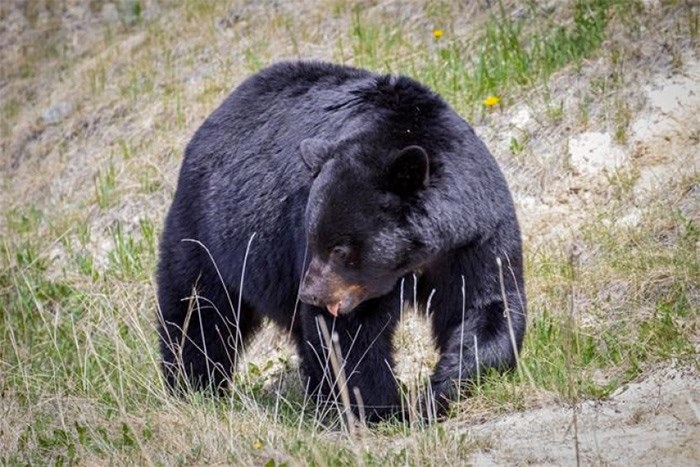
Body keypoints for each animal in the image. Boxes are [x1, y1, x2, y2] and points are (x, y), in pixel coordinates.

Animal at [154, 60, 524, 422]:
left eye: (340, 249)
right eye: (313, 238)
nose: (310, 293)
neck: (419, 256)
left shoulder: (474, 237)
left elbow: (487, 304)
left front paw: (439, 390)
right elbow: (348, 335)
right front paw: (385, 411)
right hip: (209, 236)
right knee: (198, 311)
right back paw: (193, 386)